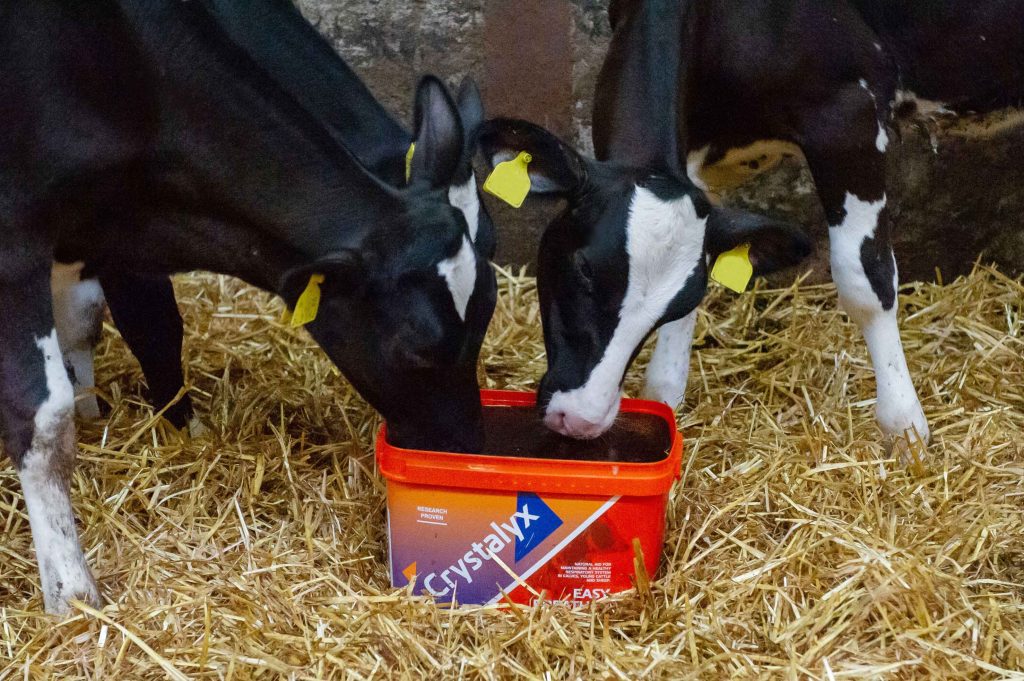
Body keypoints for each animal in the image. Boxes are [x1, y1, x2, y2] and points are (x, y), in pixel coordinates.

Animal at [480, 0, 1023, 449]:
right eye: (583, 270)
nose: (582, 419)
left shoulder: (848, 115)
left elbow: (865, 279)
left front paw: (903, 426)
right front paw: (664, 397)